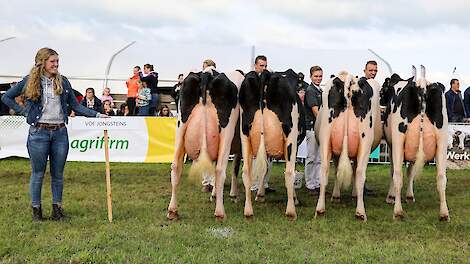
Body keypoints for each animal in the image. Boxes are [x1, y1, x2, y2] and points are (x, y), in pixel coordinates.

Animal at [167, 67, 244, 220]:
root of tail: (208, 73)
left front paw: (214, 194)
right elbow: (235, 168)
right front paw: (233, 194)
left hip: (181, 126)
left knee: (176, 166)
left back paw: (172, 211)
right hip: (226, 131)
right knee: (220, 169)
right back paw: (220, 212)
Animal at [239, 69, 304, 220]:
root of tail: (266, 74)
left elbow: (266, 169)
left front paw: (260, 194)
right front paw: (295, 198)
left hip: (244, 133)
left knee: (246, 171)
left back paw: (248, 211)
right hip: (291, 135)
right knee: (289, 172)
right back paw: (291, 211)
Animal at [312, 70, 382, 221]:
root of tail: (348, 78)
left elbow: (337, 170)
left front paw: (336, 195)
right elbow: (352, 170)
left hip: (326, 138)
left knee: (324, 171)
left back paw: (320, 210)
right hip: (365, 142)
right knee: (360, 173)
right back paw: (360, 212)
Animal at [380, 65, 450, 221]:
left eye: (383, 89)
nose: (380, 99)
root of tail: (421, 84)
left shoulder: (392, 145)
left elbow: (394, 170)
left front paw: (391, 197)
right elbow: (411, 171)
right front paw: (410, 196)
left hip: (399, 139)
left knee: (397, 174)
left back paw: (398, 211)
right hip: (442, 141)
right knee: (441, 177)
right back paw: (444, 213)